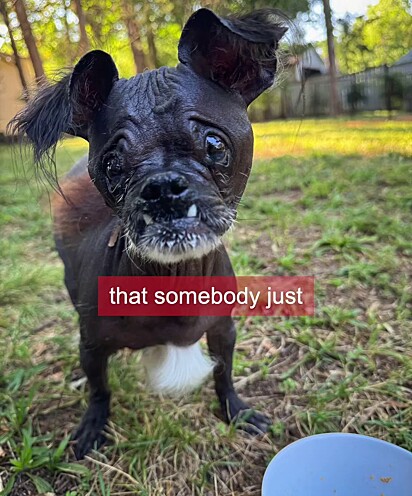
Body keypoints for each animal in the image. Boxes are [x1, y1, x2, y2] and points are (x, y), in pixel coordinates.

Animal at [9, 7, 286, 460]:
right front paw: (93, 426)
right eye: (113, 165)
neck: (173, 281)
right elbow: (99, 390)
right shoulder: (91, 348)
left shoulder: (224, 332)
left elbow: (223, 374)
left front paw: (236, 410)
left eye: (214, 144)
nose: (162, 187)